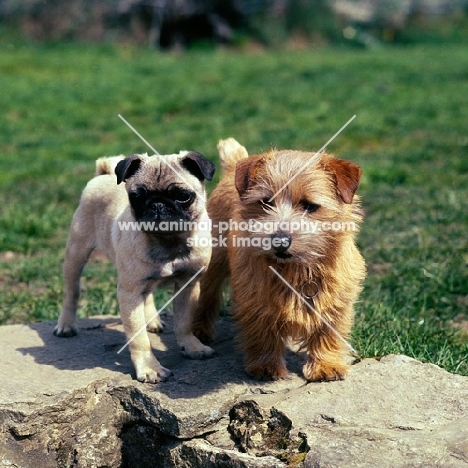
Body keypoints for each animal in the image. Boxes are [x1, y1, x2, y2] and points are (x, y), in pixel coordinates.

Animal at [54, 152, 216, 382]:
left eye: (183, 196)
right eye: (136, 196)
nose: (157, 204)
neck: (168, 242)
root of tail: (103, 173)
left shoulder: (188, 285)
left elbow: (184, 321)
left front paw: (192, 347)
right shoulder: (129, 293)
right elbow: (139, 338)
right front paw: (149, 368)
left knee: (147, 295)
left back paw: (153, 321)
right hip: (76, 252)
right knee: (71, 290)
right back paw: (66, 325)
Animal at [194, 138, 366, 380]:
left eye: (310, 206)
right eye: (266, 202)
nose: (280, 241)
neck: (295, 269)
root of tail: (234, 166)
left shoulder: (336, 297)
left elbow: (328, 330)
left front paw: (326, 364)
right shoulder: (255, 296)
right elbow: (262, 330)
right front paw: (266, 365)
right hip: (214, 263)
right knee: (207, 295)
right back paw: (199, 328)